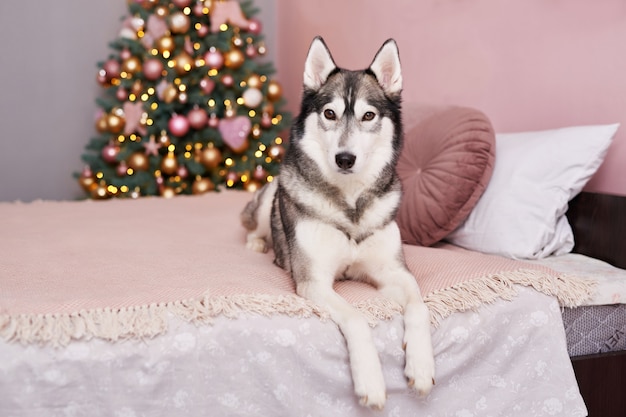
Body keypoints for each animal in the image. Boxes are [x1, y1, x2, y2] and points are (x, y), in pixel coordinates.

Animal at [239, 37, 434, 408]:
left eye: (368, 115)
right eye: (329, 113)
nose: (345, 158)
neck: (350, 205)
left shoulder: (394, 273)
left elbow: (419, 305)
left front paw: (421, 365)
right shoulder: (314, 282)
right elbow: (356, 315)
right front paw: (371, 381)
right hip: (271, 193)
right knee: (253, 226)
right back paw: (258, 244)